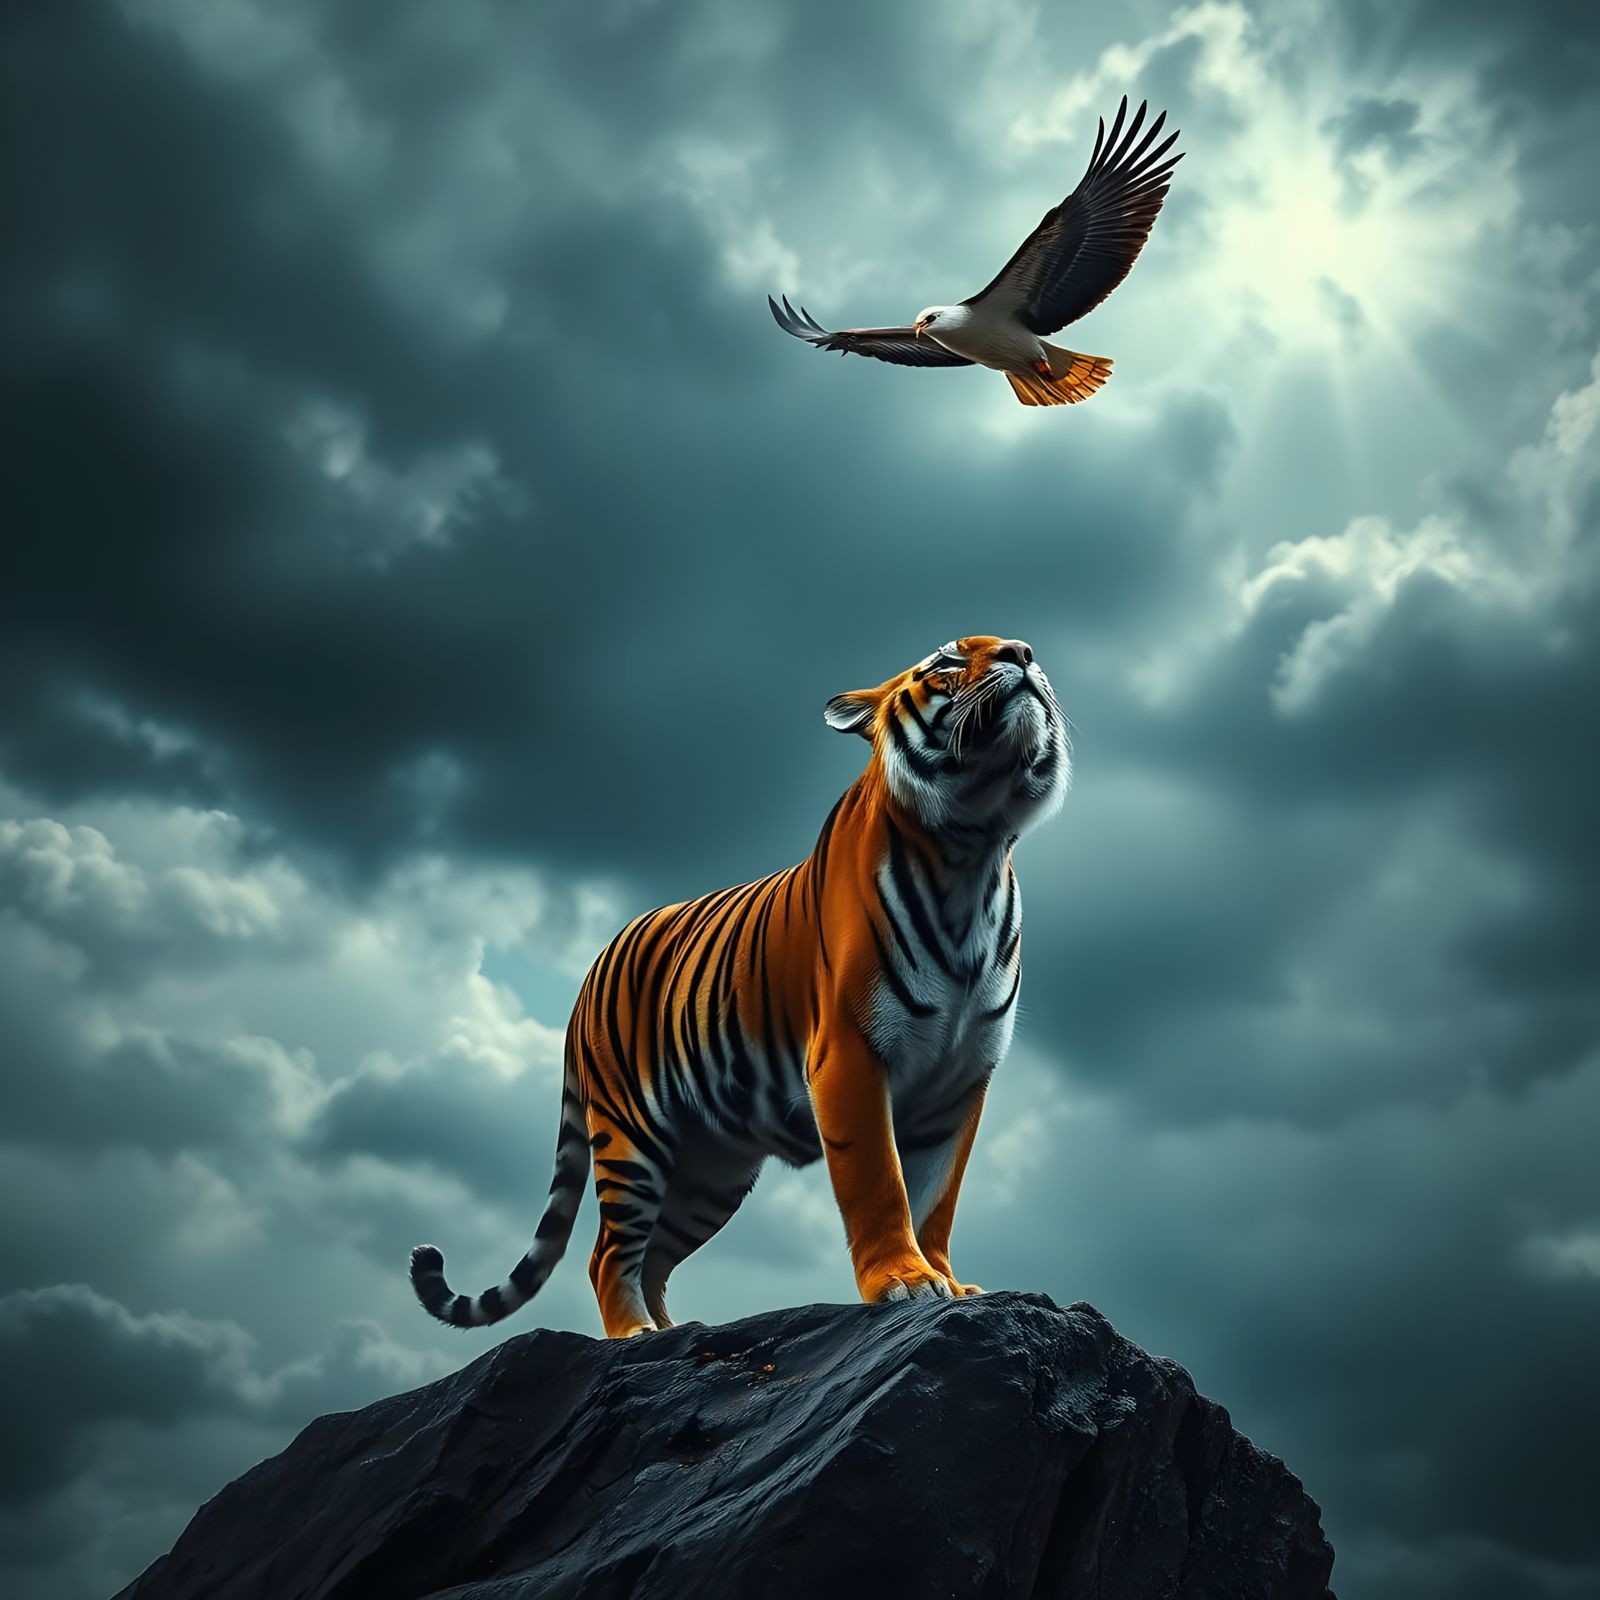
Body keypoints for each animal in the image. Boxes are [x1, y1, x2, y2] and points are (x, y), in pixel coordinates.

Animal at [410, 635, 1070, 1338]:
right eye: (945, 662)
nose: (1023, 651)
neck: (969, 856)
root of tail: (589, 975)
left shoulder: (960, 1081)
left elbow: (936, 1199)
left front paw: (946, 1280)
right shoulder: (850, 1056)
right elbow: (880, 1182)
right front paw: (904, 1282)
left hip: (709, 1172)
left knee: (653, 1254)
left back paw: (673, 1335)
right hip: (631, 1136)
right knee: (607, 1252)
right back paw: (634, 1334)